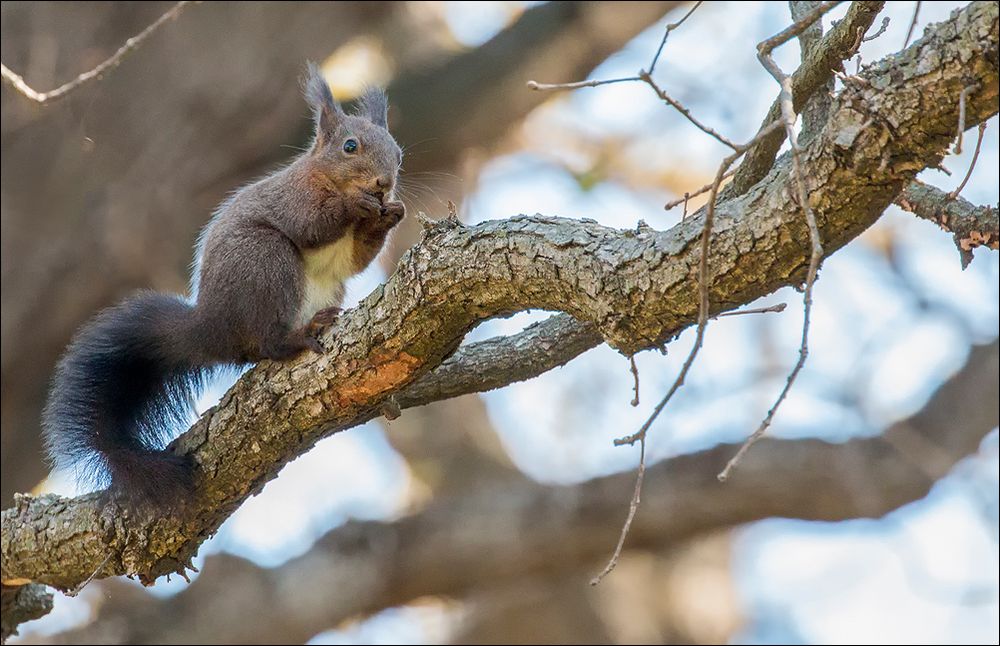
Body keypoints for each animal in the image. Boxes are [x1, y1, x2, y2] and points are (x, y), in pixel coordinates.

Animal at [41, 64, 404, 512]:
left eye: (399, 153)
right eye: (350, 146)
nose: (384, 183)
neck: (321, 175)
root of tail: (212, 326)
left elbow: (357, 260)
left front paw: (392, 213)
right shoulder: (294, 199)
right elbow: (312, 225)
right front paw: (357, 204)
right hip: (264, 261)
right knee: (267, 343)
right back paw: (299, 336)